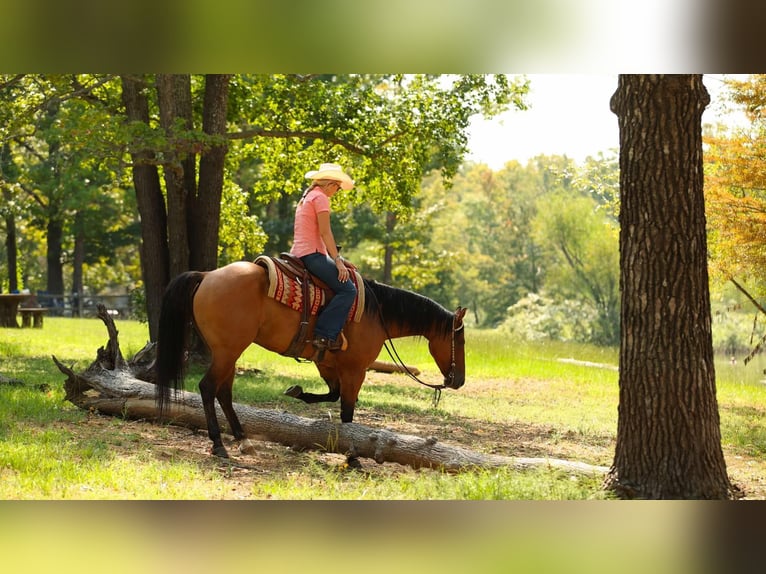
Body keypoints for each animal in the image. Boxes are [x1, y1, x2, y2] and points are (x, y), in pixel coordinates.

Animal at [155, 259, 467, 458]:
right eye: (461, 340)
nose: (459, 381)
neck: (377, 313)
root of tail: (207, 275)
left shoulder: (327, 364)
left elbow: (331, 395)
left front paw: (298, 392)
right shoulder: (356, 370)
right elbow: (347, 413)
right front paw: (353, 457)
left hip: (229, 352)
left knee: (224, 393)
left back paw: (244, 440)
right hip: (228, 351)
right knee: (208, 388)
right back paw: (219, 445)